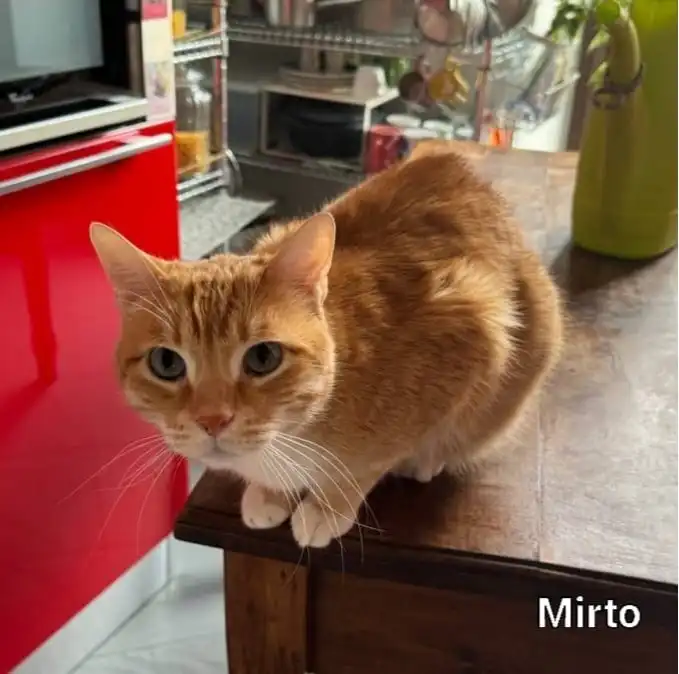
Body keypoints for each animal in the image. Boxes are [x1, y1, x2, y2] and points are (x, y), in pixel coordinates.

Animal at [90, 140, 564, 549]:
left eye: (263, 357)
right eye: (167, 364)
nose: (212, 420)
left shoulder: (472, 332)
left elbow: (368, 464)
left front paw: (328, 507)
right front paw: (269, 494)